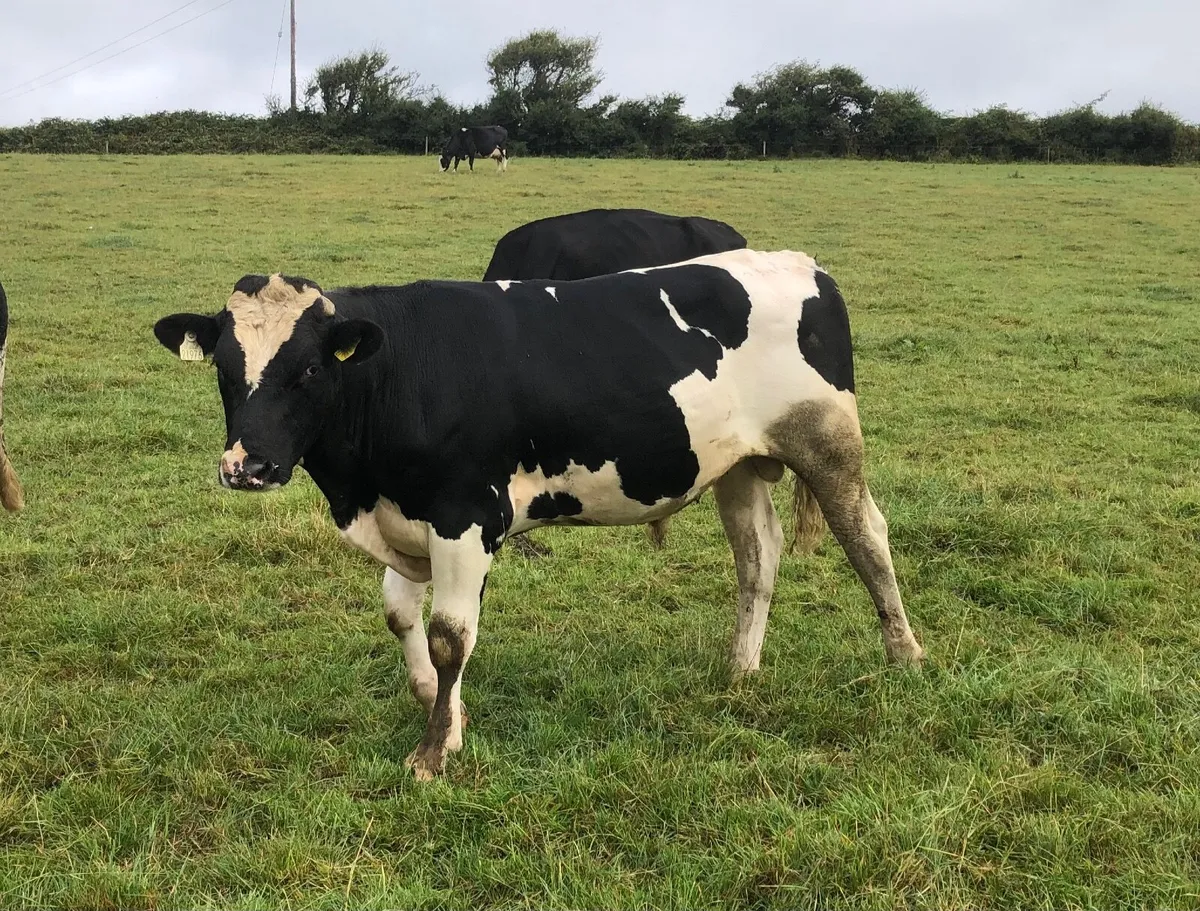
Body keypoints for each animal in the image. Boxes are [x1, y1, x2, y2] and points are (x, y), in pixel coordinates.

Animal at [153, 252, 925, 780]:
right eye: (224, 367)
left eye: (311, 368)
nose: (247, 466)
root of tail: (799, 262)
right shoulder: (407, 514)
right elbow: (402, 616)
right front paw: (441, 709)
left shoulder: (466, 515)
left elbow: (450, 636)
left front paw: (433, 751)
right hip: (735, 464)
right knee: (758, 557)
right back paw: (741, 668)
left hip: (827, 439)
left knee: (868, 538)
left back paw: (904, 655)